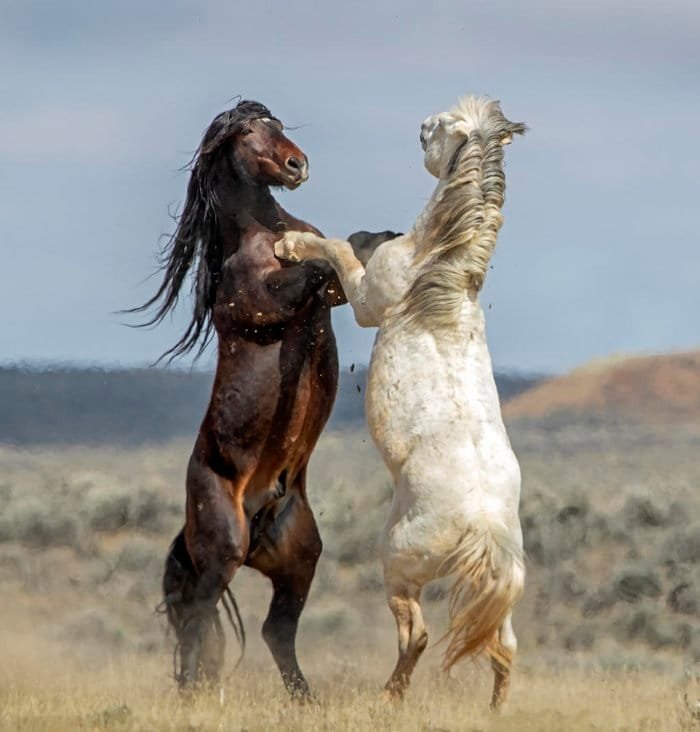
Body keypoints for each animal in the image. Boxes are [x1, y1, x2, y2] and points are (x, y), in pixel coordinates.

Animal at [130, 98, 394, 696]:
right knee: (198, 620)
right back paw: (195, 696)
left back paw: (307, 701)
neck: (260, 229)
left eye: (277, 125)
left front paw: (386, 235)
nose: (298, 165)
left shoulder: (331, 296)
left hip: (300, 557)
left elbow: (346, 251)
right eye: (250, 132)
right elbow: (313, 267)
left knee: (277, 631)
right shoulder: (267, 303)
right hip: (222, 548)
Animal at [276, 97, 528, 708]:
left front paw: (290, 246)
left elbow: (339, 250)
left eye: (442, 128)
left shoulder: (369, 299)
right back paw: (492, 712)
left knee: (418, 635)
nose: (419, 127)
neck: (436, 270)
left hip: (398, 564)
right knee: (503, 650)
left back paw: (388, 696)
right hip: (498, 593)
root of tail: (482, 528)